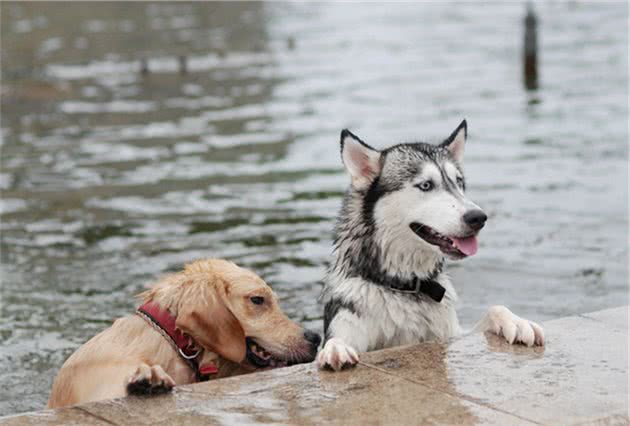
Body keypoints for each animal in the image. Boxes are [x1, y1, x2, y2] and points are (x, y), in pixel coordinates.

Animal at [318, 119, 544, 370]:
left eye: (459, 182)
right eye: (426, 185)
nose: (478, 217)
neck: (404, 288)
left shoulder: (451, 334)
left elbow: (495, 309)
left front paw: (516, 321)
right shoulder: (345, 321)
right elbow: (335, 340)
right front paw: (335, 348)